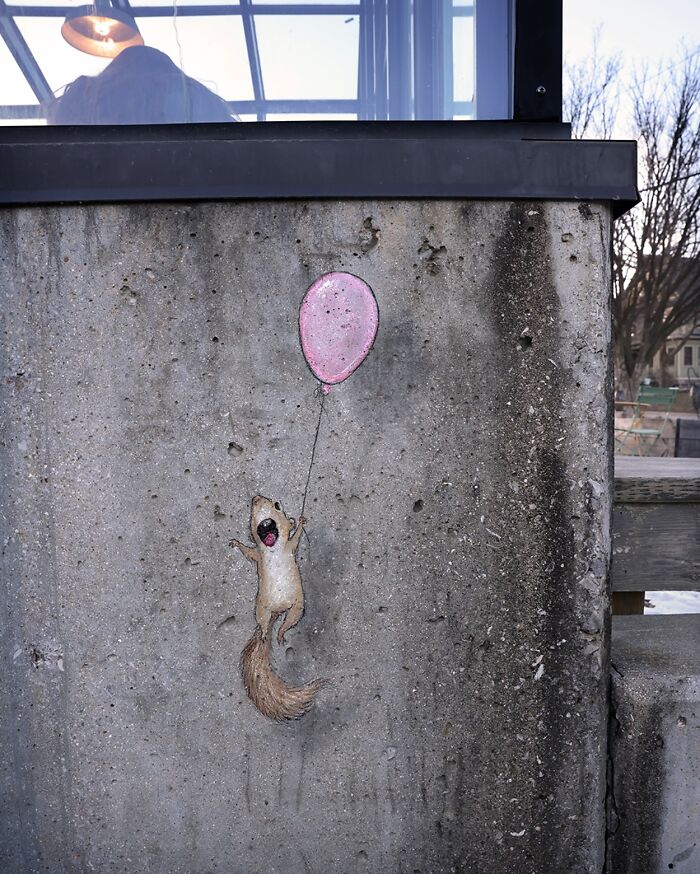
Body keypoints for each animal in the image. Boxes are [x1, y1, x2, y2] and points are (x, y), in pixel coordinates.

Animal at [230, 495, 327, 721]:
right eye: (252, 511)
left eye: (276, 505)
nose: (256, 498)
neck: (272, 549)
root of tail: (278, 610)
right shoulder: (258, 555)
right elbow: (249, 551)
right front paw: (236, 543)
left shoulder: (289, 546)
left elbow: (296, 536)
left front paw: (300, 522)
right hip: (262, 607)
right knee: (264, 623)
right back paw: (267, 633)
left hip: (297, 606)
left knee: (288, 622)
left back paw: (280, 633)